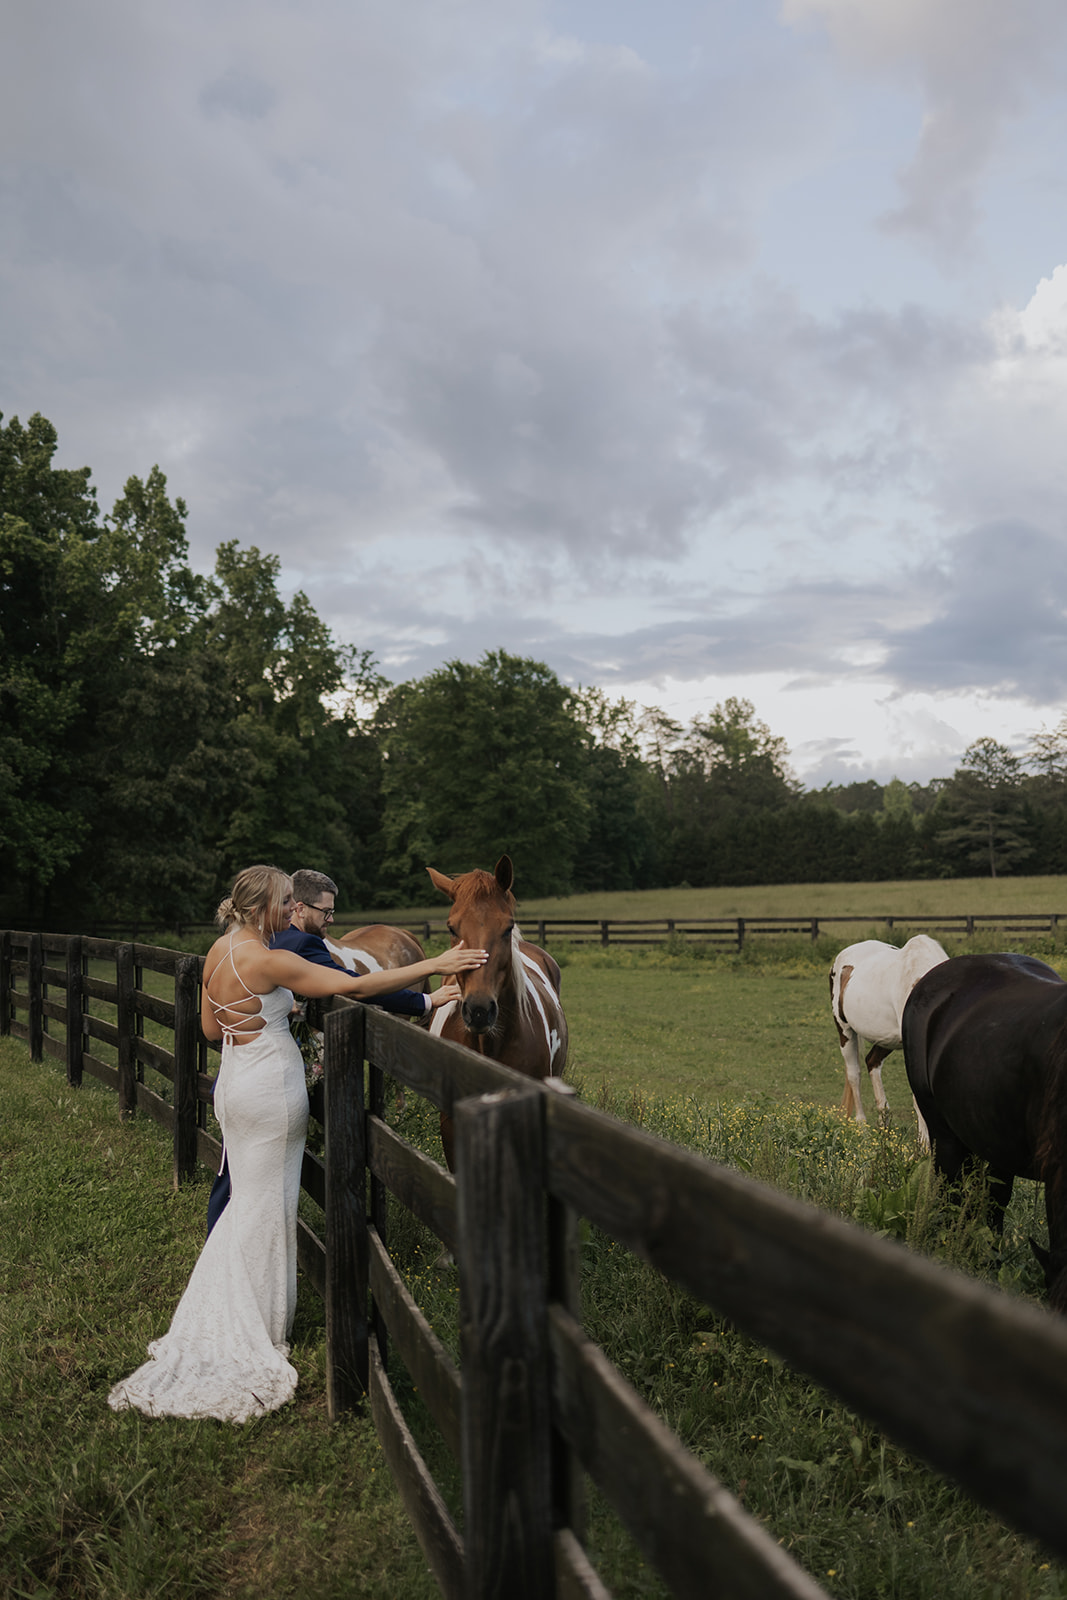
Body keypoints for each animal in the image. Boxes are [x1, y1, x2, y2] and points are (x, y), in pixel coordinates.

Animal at [831, 934, 947, 1152]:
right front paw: (924, 1146)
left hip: (886, 1041)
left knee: (871, 1062)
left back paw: (884, 1127)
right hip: (845, 1031)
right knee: (854, 1075)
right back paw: (863, 1131)